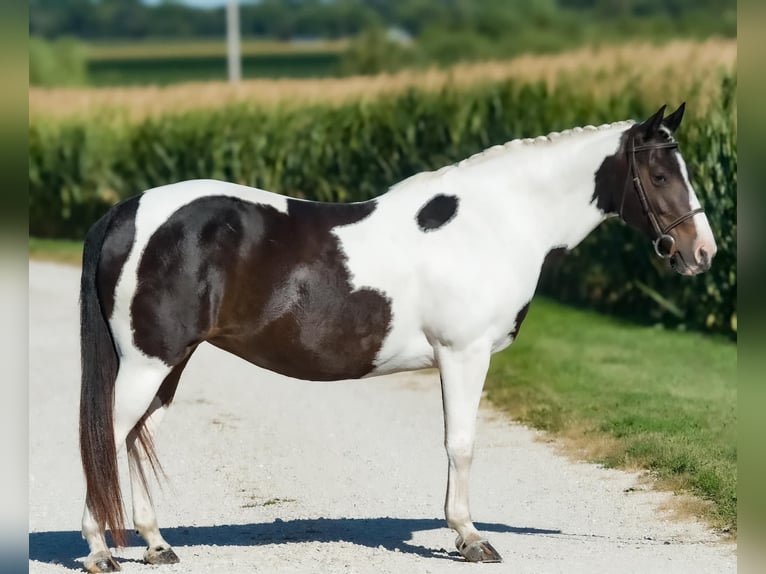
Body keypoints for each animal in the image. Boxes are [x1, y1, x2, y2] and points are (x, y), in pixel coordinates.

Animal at [78, 102, 720, 572]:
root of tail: (124, 212)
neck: (497, 220)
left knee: (134, 438)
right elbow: (461, 444)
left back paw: (157, 545)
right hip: (148, 363)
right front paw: (470, 538)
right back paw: (99, 550)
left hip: (170, 362)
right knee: (106, 439)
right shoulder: (464, 355)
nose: (702, 254)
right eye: (660, 175)